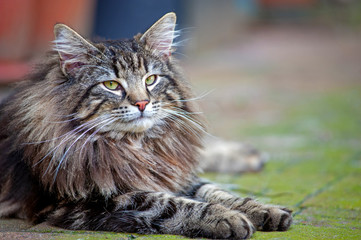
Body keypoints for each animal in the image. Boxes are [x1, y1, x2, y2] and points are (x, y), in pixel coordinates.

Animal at [0, 13, 292, 240]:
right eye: (111, 85)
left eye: (151, 79)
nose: (142, 102)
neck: (138, 147)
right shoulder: (88, 200)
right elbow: (171, 203)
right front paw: (226, 218)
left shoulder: (172, 172)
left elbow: (215, 190)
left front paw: (263, 210)